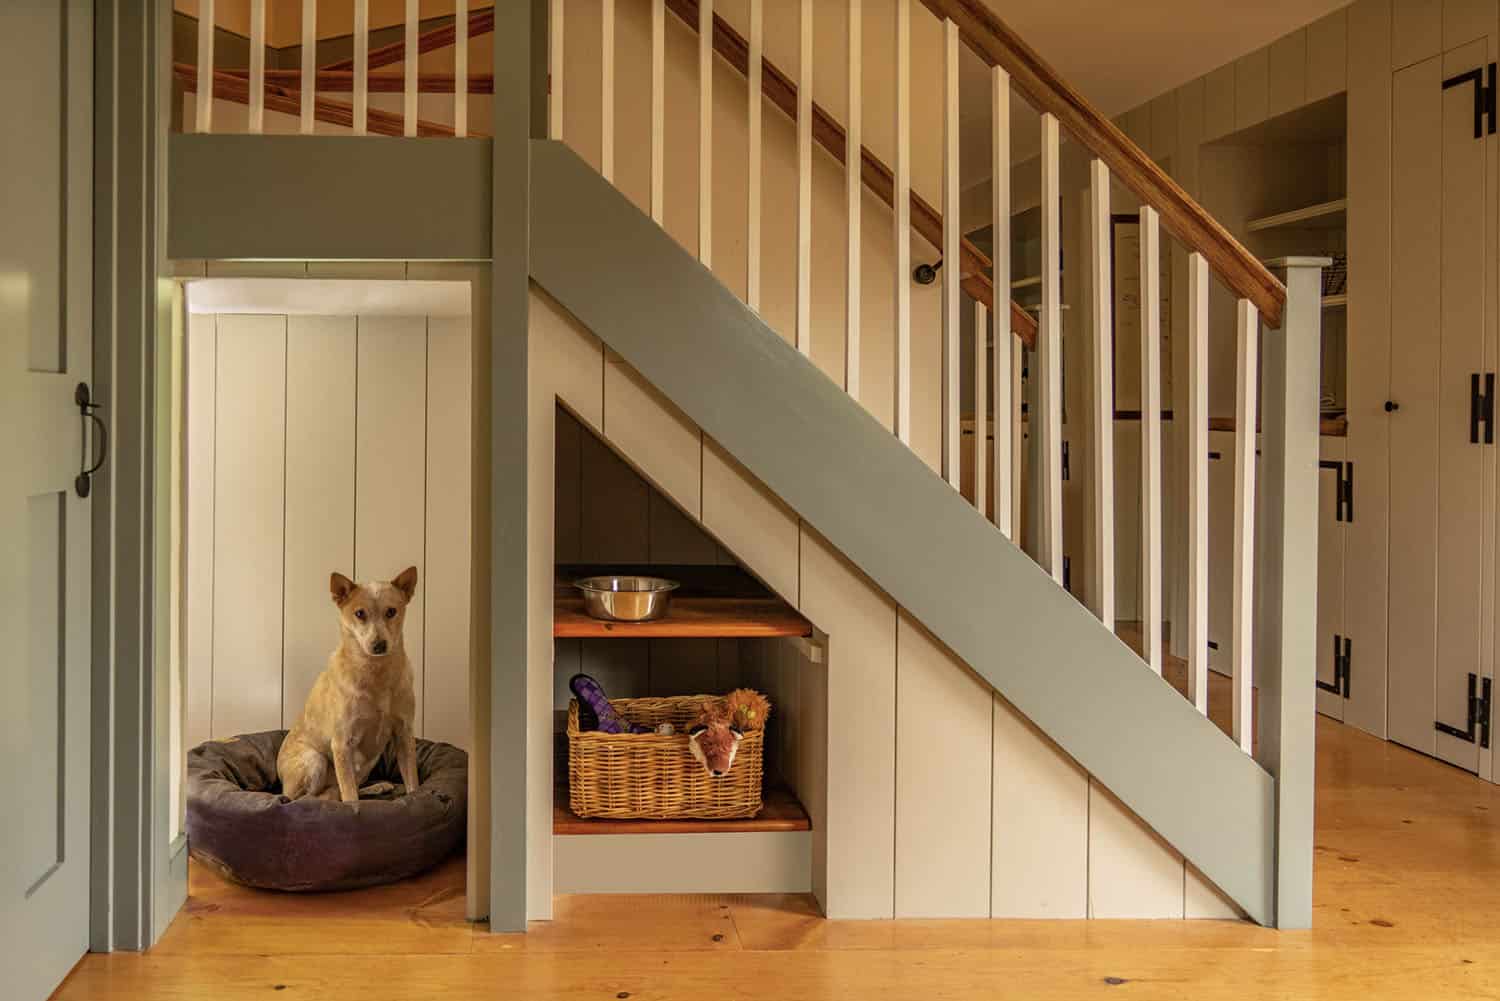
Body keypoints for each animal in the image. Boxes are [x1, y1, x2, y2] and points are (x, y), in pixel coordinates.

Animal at [277, 567, 420, 804]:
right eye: (360, 613)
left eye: (391, 611)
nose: (379, 645)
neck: (376, 673)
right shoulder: (342, 742)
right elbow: (350, 796)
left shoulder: (404, 733)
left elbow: (412, 783)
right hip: (314, 760)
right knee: (307, 798)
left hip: (367, 763)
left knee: (338, 791)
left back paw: (377, 787)